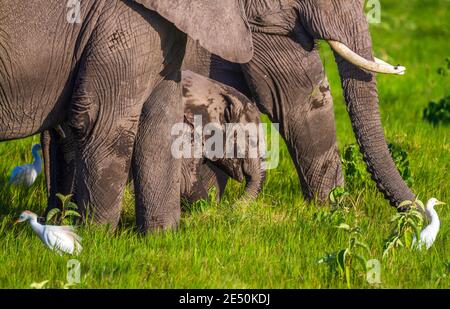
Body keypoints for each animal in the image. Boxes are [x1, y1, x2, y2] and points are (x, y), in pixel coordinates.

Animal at [0, 0, 253, 231]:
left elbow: (160, 127)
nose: (231, 209)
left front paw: (160, 237)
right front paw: (93, 238)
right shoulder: (119, 25)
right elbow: (105, 126)